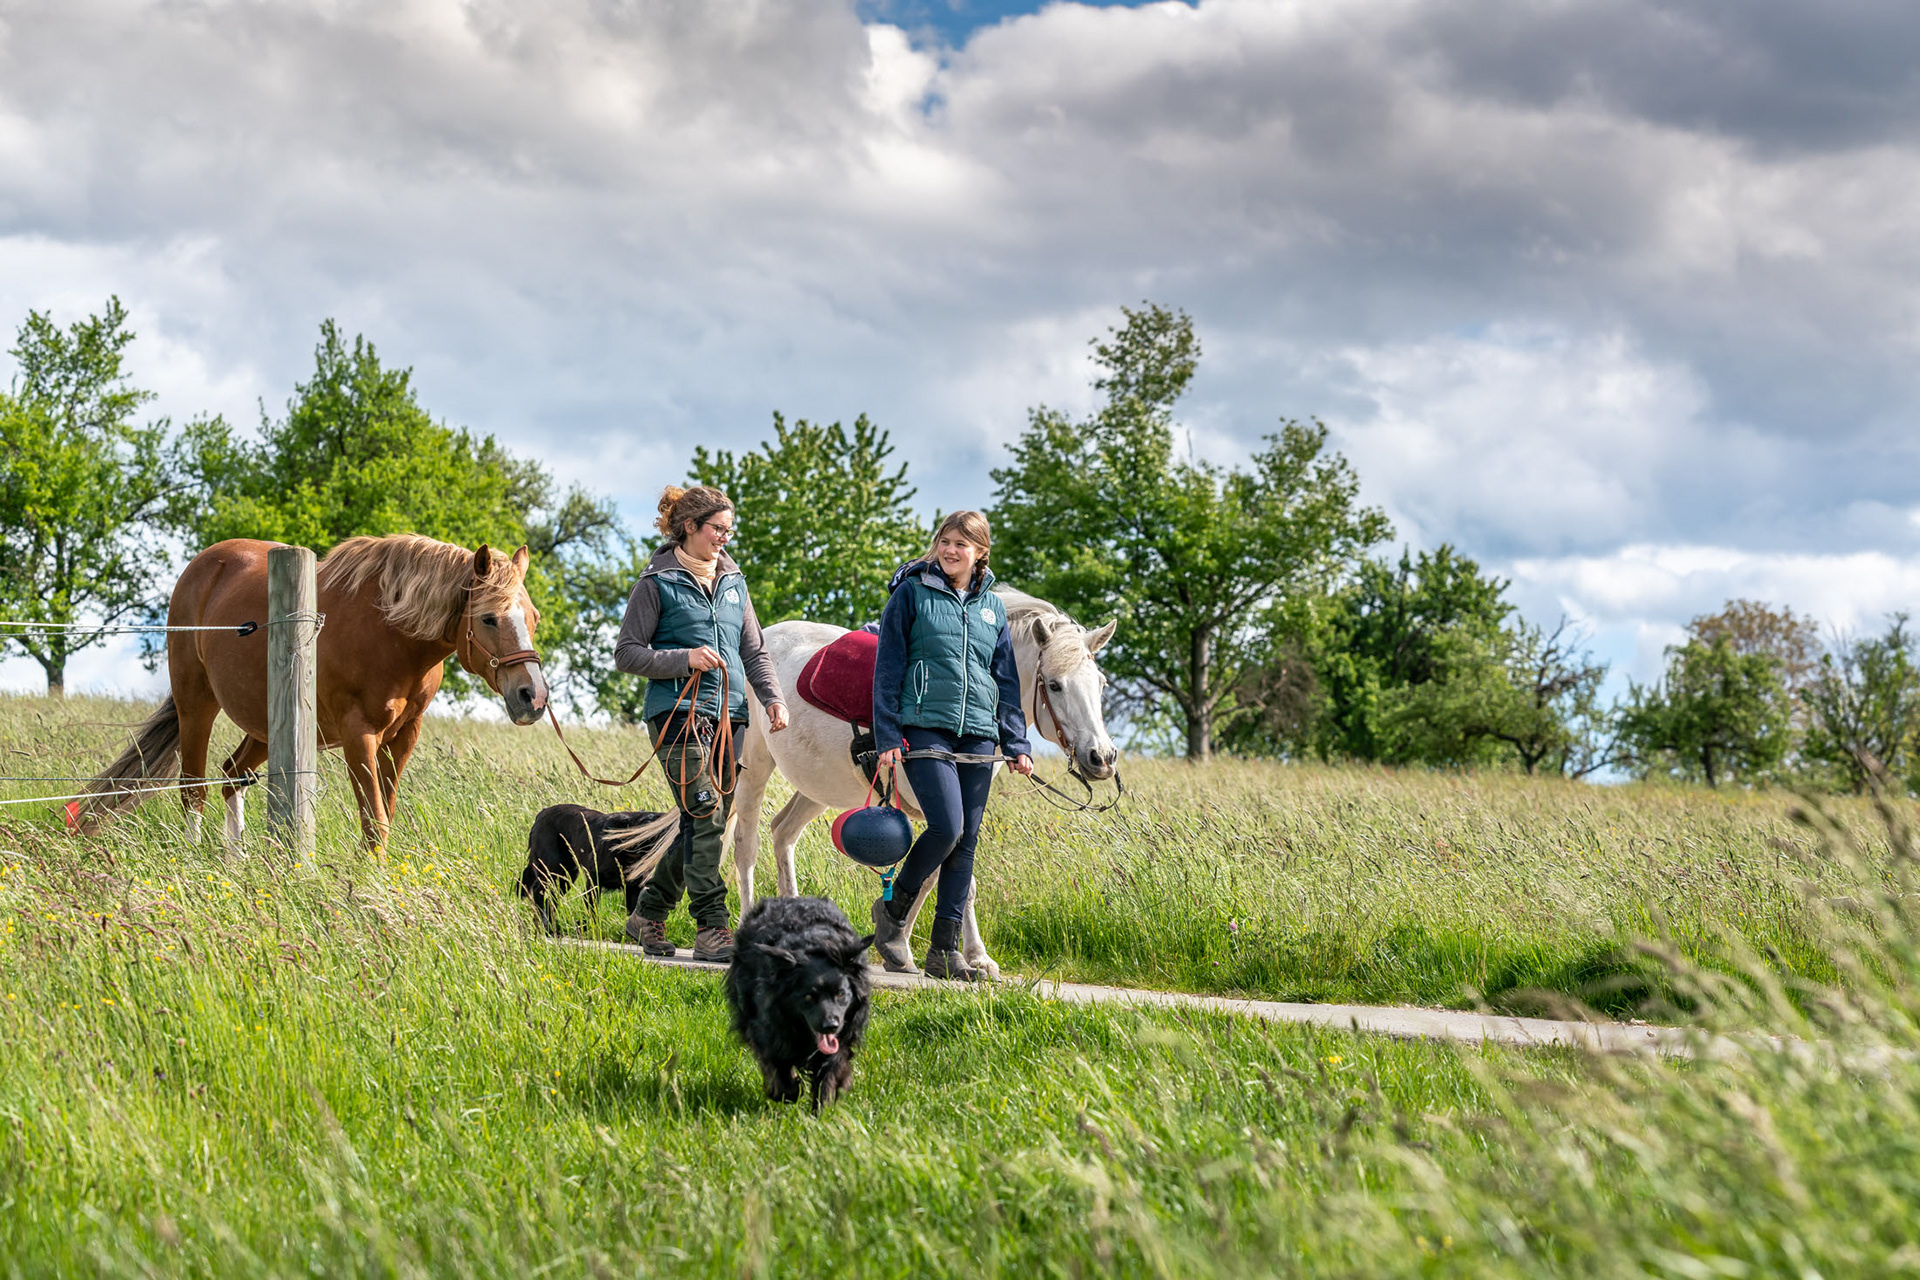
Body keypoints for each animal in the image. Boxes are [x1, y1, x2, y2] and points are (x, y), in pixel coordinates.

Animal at [80, 534, 549, 850]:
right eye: (488, 618)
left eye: (533, 616)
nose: (533, 696)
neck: (391, 631)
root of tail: (204, 566)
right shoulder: (359, 735)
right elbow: (374, 821)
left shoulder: (403, 737)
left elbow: (384, 814)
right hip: (196, 704)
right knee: (193, 787)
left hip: (267, 726)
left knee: (232, 775)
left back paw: (235, 859)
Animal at [518, 804, 680, 933]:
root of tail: (542, 813)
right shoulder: (594, 881)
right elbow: (593, 911)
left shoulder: (635, 886)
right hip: (552, 868)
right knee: (539, 892)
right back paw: (547, 927)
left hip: (566, 876)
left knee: (551, 898)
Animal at [725, 896, 875, 1111]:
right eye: (808, 997)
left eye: (840, 994)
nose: (831, 1026)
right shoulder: (767, 1029)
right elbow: (778, 1069)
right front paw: (786, 1091)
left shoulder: (844, 1037)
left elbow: (830, 1074)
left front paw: (823, 1111)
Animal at [729, 588, 1118, 979]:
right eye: (1054, 684)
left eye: (1101, 684)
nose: (1102, 757)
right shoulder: (939, 807)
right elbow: (945, 872)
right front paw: (968, 955)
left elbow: (937, 874)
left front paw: (905, 948)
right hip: (753, 769)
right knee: (746, 844)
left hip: (818, 787)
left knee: (783, 832)